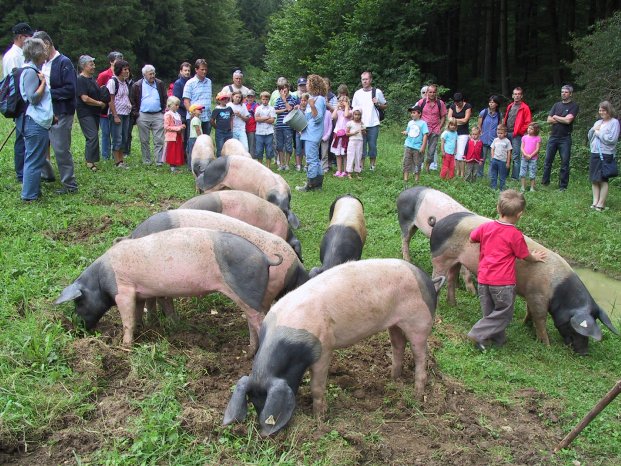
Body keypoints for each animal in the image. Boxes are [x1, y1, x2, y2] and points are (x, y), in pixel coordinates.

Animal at [54, 228, 284, 352]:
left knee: (259, 320)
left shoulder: (124, 290)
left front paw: (125, 346)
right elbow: (137, 313)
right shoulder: (138, 293)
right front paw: (143, 329)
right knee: (251, 320)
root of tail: (265, 257)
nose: (79, 329)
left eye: (78, 301)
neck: (101, 279)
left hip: (245, 289)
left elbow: (127, 320)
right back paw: (249, 350)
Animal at [223, 258, 446, 436]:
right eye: (253, 401)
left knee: (421, 355)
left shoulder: (324, 348)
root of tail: (428, 281)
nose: (264, 433)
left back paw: (417, 396)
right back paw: (393, 379)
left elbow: (317, 386)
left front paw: (319, 419)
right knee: (398, 345)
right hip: (395, 324)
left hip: (420, 322)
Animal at [428, 211, 616, 354]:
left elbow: (529, 311)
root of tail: (438, 222)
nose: (584, 353)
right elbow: (540, 317)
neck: (559, 291)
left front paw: (525, 325)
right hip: (440, 257)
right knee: (437, 276)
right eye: (576, 328)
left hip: (456, 260)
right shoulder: (538, 296)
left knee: (452, 278)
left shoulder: (531, 294)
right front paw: (546, 345)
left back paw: (453, 304)